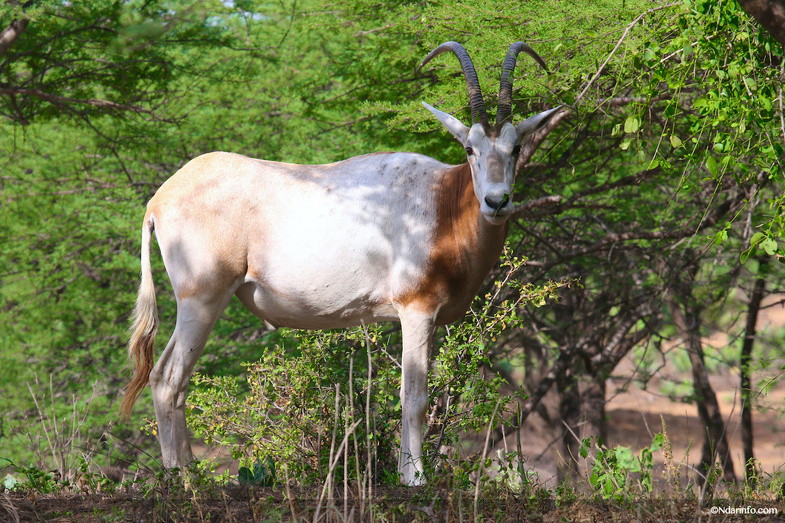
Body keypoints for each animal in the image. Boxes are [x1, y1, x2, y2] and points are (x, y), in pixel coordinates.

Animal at [119, 41, 560, 488]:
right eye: (470, 148)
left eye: (515, 148)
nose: (496, 201)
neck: (444, 201)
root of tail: (159, 200)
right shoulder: (416, 310)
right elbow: (414, 396)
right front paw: (414, 478)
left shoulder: (430, 318)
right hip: (202, 299)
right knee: (167, 379)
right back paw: (182, 478)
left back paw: (188, 472)